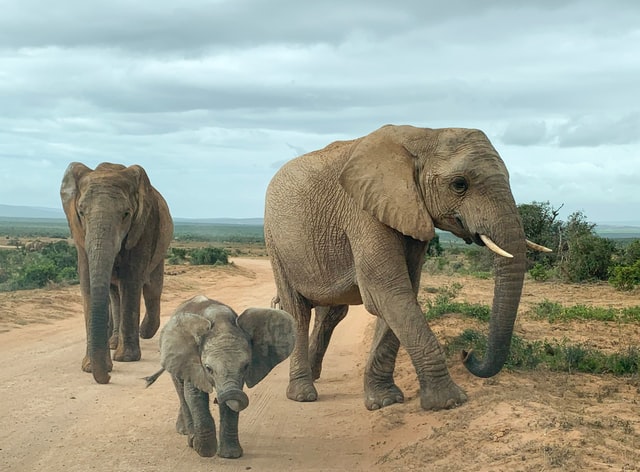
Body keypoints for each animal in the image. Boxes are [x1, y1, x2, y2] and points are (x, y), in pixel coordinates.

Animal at [60, 162, 173, 384]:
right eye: (81, 212)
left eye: (126, 214)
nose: (108, 376)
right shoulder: (80, 236)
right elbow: (88, 285)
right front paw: (89, 367)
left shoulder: (144, 227)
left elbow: (131, 281)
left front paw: (126, 359)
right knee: (115, 293)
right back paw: (114, 342)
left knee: (152, 289)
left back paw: (144, 332)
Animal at [144, 296, 295, 458]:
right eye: (208, 369)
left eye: (246, 366)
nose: (216, 399)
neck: (220, 320)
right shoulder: (193, 361)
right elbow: (195, 395)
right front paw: (204, 452)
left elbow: (233, 399)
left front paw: (230, 455)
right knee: (181, 391)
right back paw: (189, 436)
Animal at [264, 124, 551, 411]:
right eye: (459, 184)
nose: (467, 353)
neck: (425, 135)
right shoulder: (364, 212)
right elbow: (388, 292)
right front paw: (449, 401)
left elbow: (402, 294)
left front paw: (385, 400)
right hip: (274, 240)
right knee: (298, 312)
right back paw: (302, 394)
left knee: (331, 314)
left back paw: (313, 376)